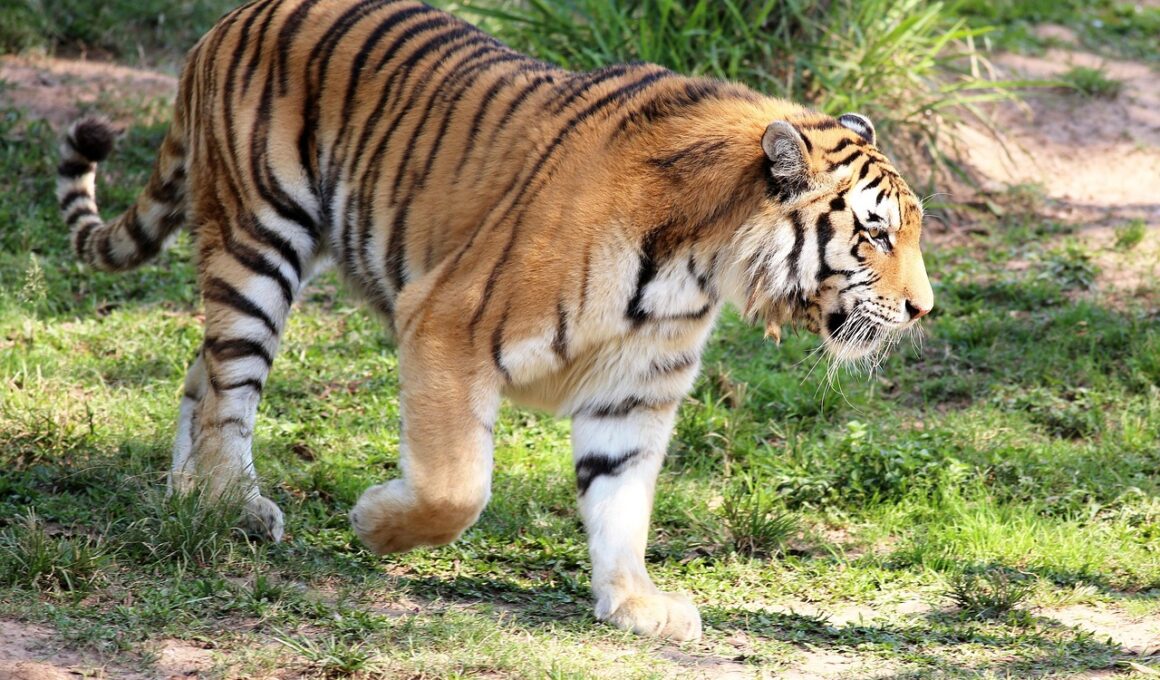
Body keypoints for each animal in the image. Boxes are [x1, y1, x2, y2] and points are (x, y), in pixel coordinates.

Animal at [55, 0, 933, 640]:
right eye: (877, 233)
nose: (924, 309)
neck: (698, 264)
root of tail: (225, 22)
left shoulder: (636, 390)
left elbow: (622, 503)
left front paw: (635, 604)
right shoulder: (446, 325)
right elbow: (457, 490)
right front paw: (375, 525)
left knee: (200, 370)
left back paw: (190, 496)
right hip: (258, 244)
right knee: (230, 386)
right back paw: (230, 503)